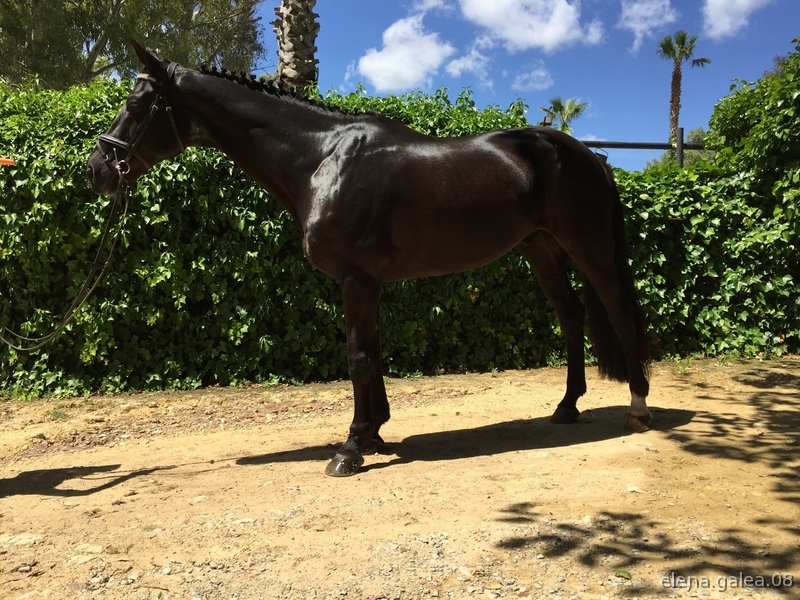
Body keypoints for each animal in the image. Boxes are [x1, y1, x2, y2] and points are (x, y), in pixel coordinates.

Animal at [87, 41, 652, 477]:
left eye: (137, 102)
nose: (97, 170)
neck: (321, 158)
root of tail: (588, 154)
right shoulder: (370, 281)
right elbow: (374, 352)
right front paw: (376, 434)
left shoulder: (355, 278)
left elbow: (358, 355)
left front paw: (351, 448)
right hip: (541, 250)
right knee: (572, 316)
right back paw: (567, 406)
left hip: (589, 247)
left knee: (620, 312)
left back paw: (638, 409)